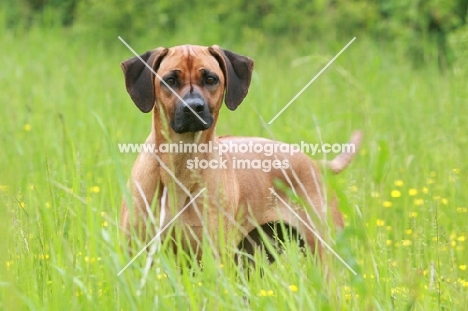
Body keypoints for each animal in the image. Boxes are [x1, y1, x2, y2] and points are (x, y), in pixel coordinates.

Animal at [120, 44, 362, 264]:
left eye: (211, 79)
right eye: (170, 80)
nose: (193, 108)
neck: (181, 161)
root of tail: (312, 162)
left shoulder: (213, 258)